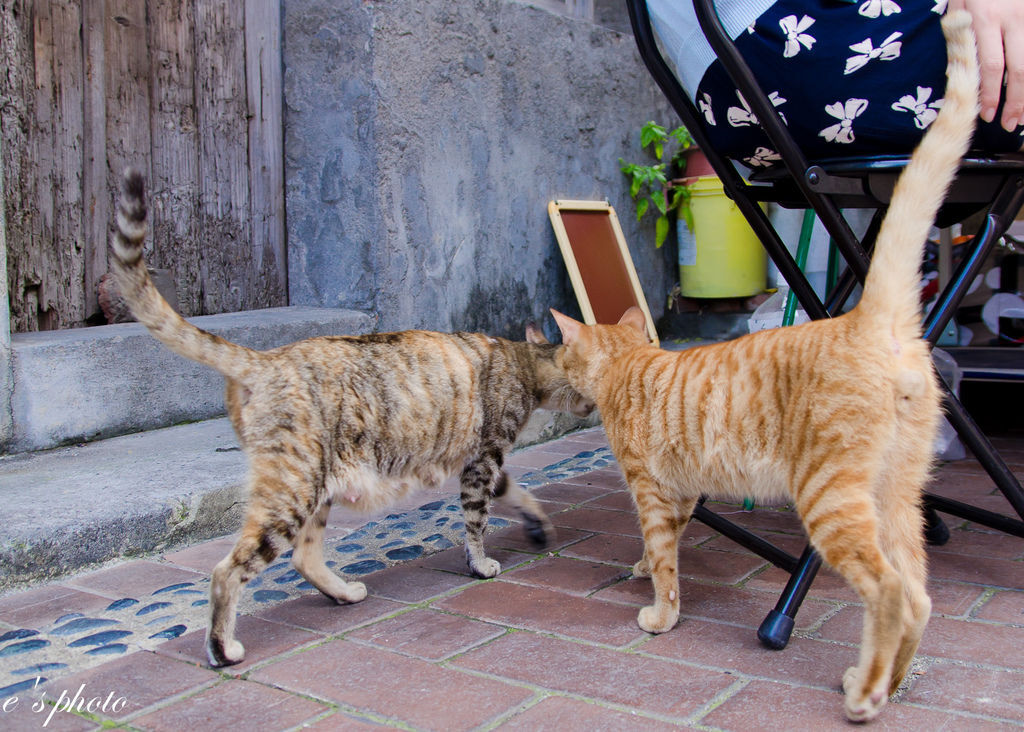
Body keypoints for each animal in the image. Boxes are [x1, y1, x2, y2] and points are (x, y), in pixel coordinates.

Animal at [552, 8, 974, 724]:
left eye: (558, 352)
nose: (553, 370)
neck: (633, 365)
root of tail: (869, 318)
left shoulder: (652, 488)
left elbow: (665, 560)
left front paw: (660, 614)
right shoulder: (681, 492)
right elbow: (660, 548)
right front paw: (640, 572)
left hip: (830, 499)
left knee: (889, 591)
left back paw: (865, 694)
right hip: (897, 497)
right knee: (920, 597)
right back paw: (885, 681)